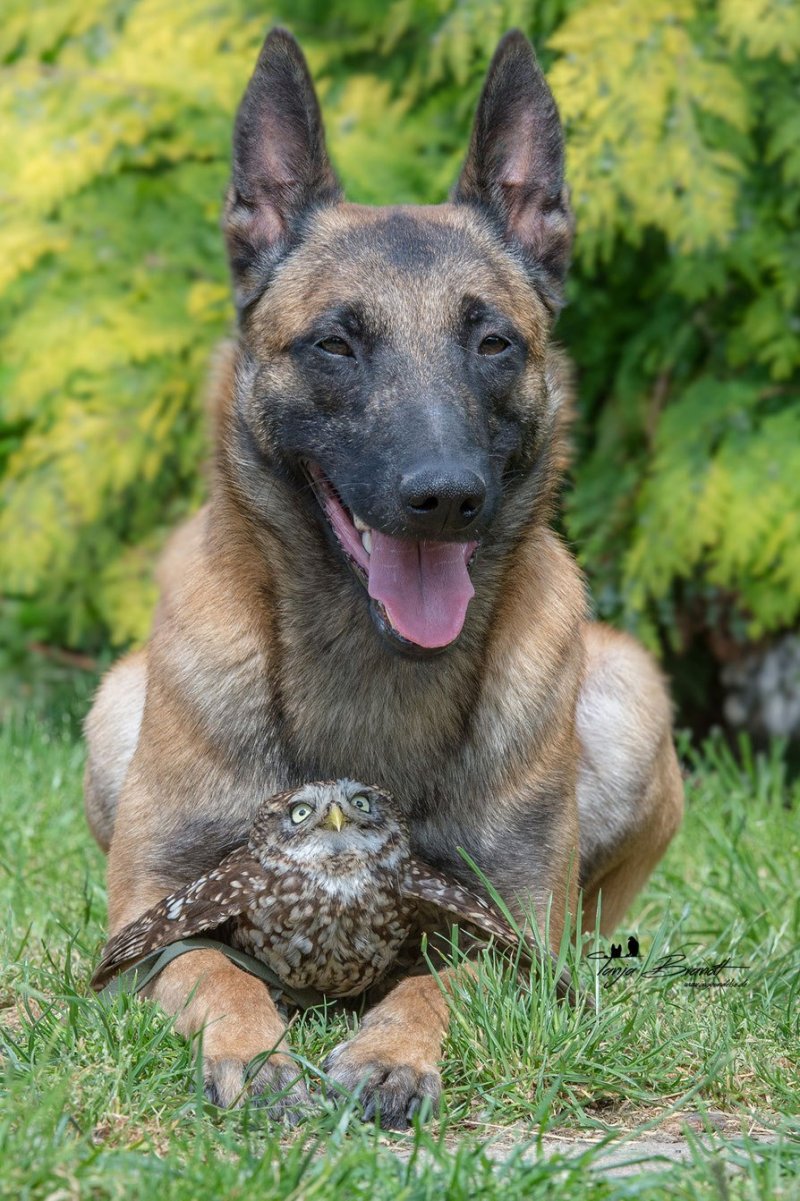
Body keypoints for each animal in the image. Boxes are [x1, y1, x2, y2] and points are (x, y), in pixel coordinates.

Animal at [84, 25, 682, 1124]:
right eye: (335, 343)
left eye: (492, 342)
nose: (442, 496)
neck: (372, 669)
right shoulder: (153, 919)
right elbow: (216, 971)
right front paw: (259, 1056)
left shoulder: (515, 941)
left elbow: (433, 982)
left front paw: (389, 1053)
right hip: (113, 706)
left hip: (629, 695)